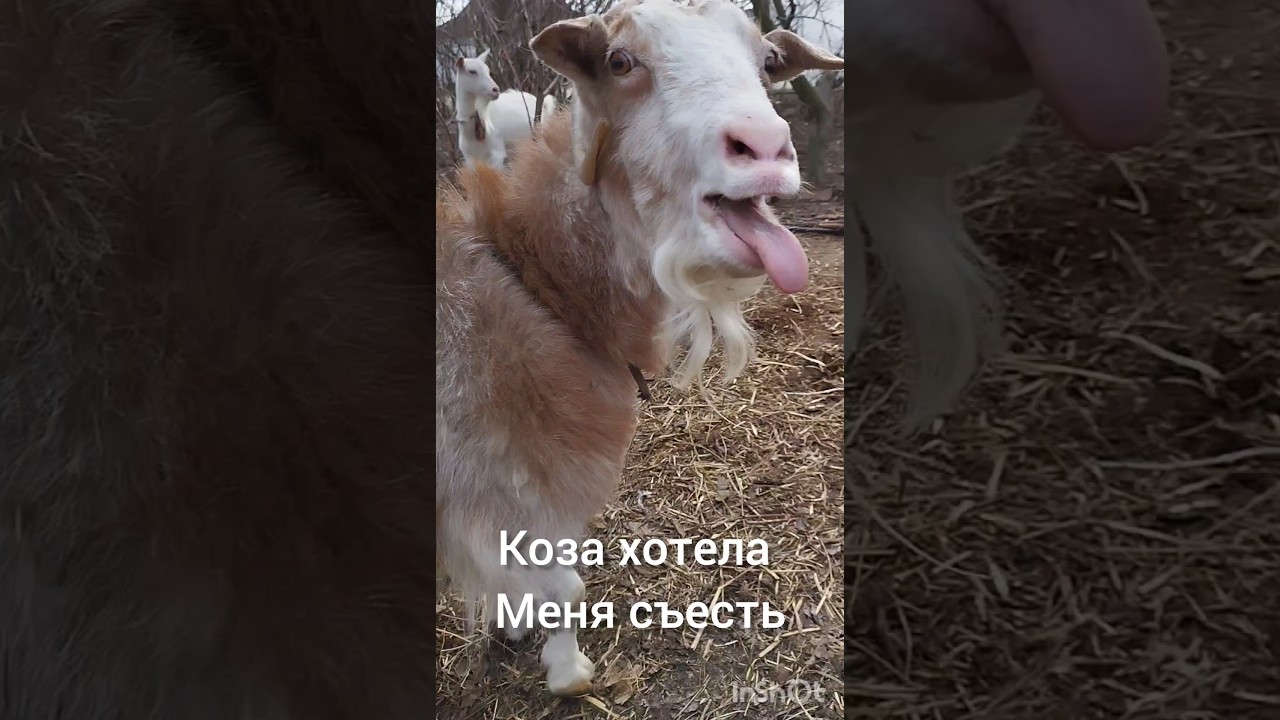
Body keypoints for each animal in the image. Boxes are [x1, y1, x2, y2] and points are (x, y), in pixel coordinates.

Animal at [437, 0, 844, 696]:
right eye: (619, 61)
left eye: (768, 61)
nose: (764, 147)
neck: (539, 283)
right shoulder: (495, 480)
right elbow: (564, 584)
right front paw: (568, 672)